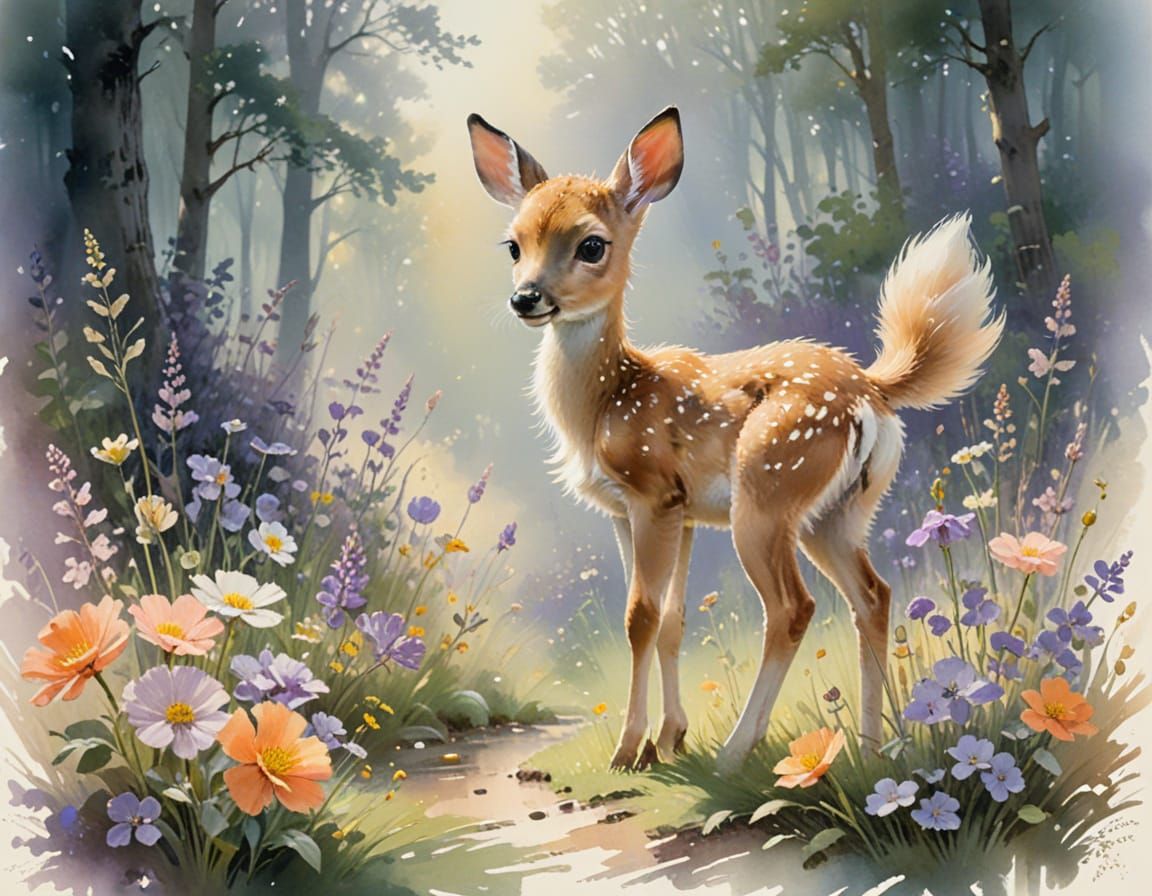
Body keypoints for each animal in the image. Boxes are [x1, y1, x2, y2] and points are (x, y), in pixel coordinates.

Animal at [467, 106, 1002, 773]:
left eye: (591, 244)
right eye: (514, 245)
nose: (526, 298)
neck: (606, 402)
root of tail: (872, 389)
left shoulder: (654, 496)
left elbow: (640, 617)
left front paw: (628, 750)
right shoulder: (657, 513)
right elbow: (671, 620)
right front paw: (668, 741)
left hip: (767, 493)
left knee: (794, 608)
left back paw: (738, 751)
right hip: (836, 512)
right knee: (873, 596)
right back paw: (874, 748)